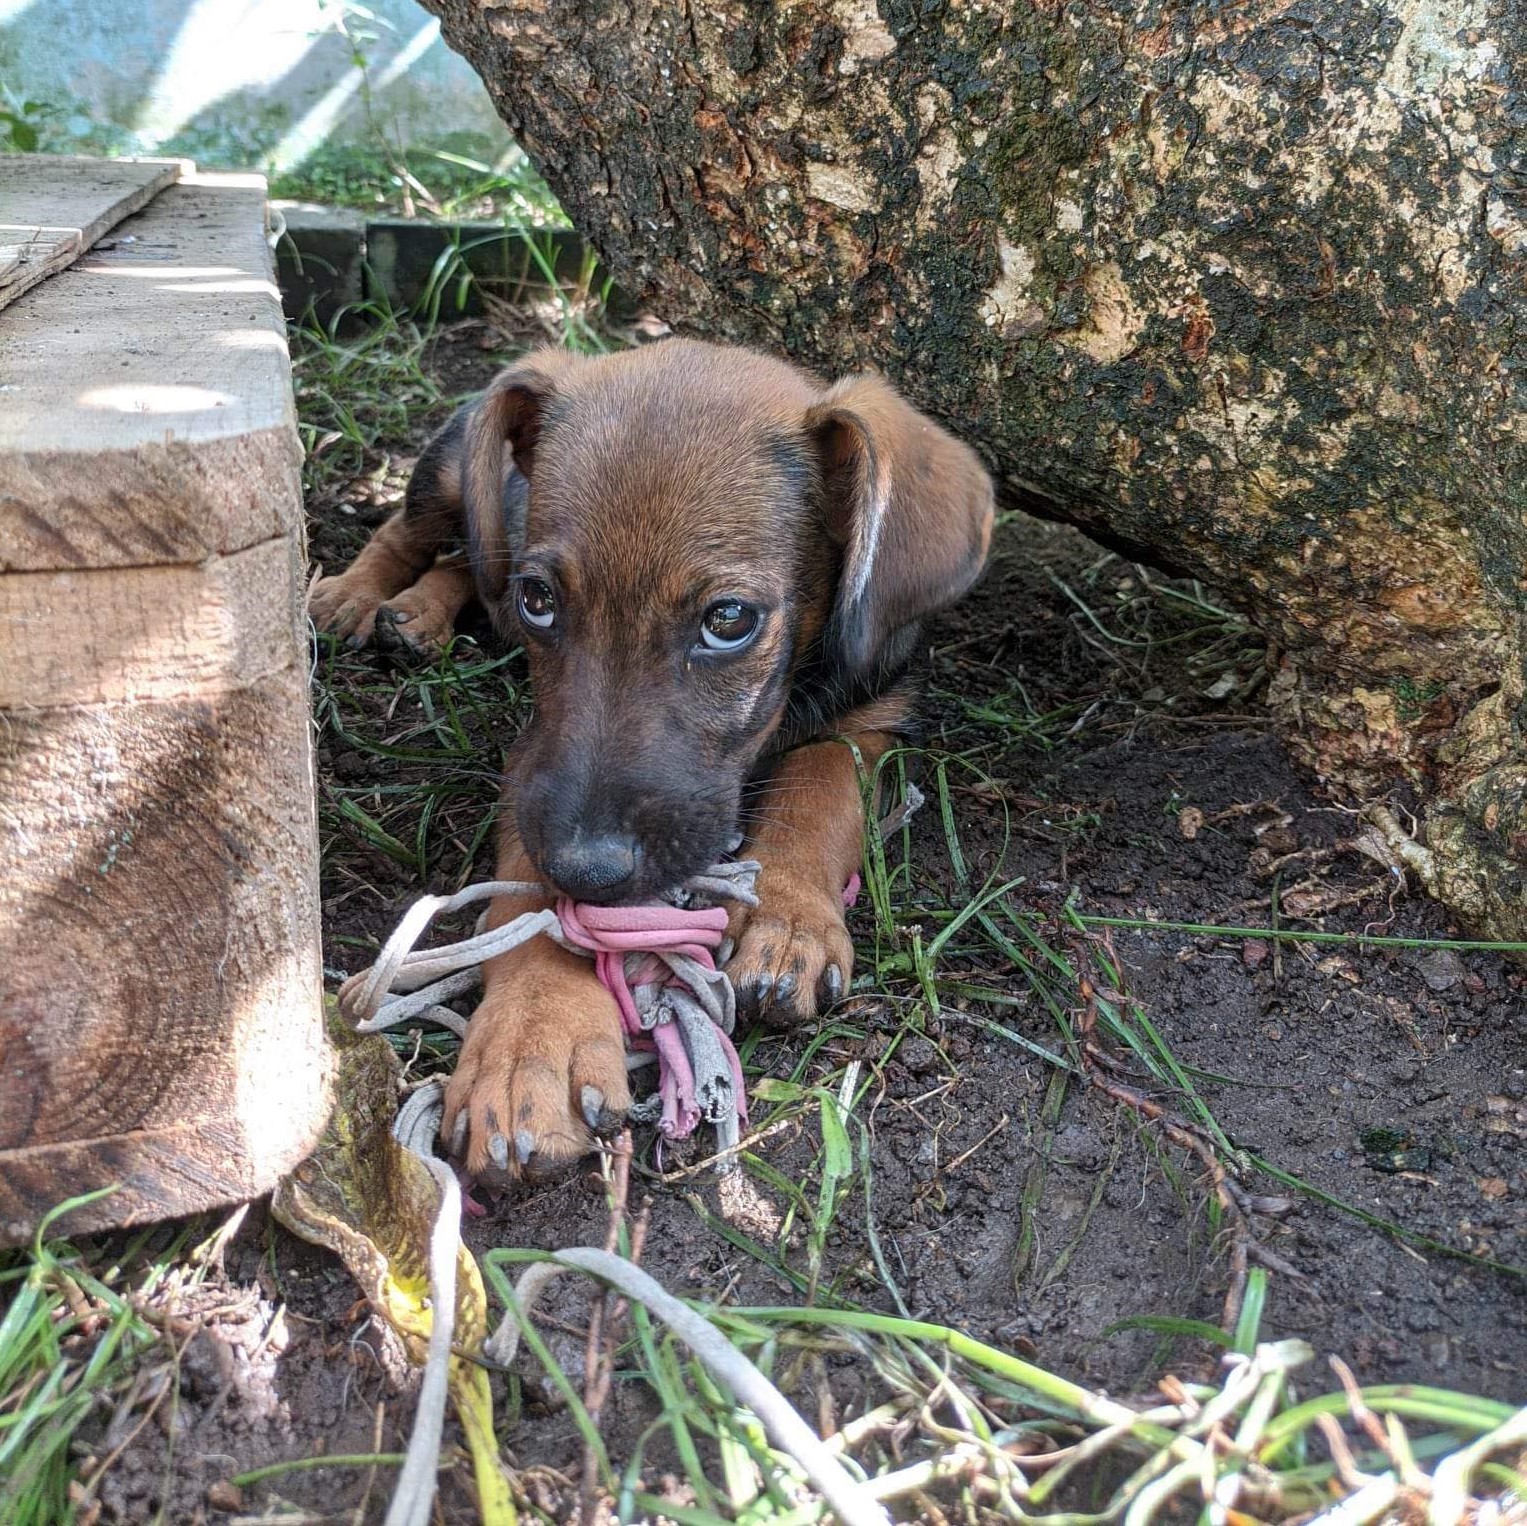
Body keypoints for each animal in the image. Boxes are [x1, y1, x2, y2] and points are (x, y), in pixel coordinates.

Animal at [316, 340, 995, 1179]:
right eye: (541, 600)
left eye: (728, 619)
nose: (586, 869)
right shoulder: (536, 757)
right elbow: (533, 904)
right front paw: (527, 1044)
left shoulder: (872, 718)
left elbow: (819, 787)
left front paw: (789, 916)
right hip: (445, 474)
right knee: (420, 536)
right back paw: (353, 596)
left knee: (469, 563)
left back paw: (417, 615)